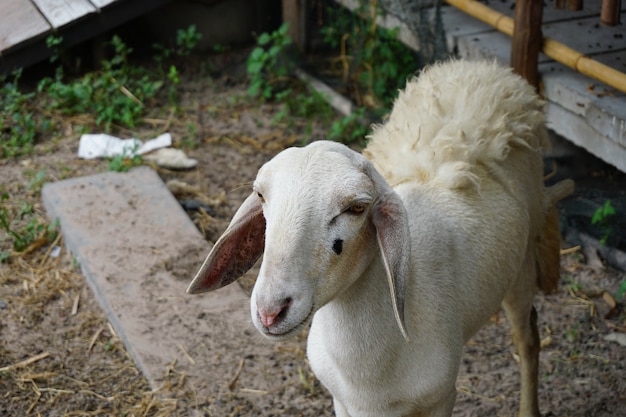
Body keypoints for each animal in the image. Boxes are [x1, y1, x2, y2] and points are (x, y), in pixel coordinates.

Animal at [188, 59, 572, 416]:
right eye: (261, 195)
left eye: (356, 207)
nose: (270, 311)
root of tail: (482, 68)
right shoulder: (342, 401)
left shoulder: (441, 398)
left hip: (522, 263)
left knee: (528, 338)